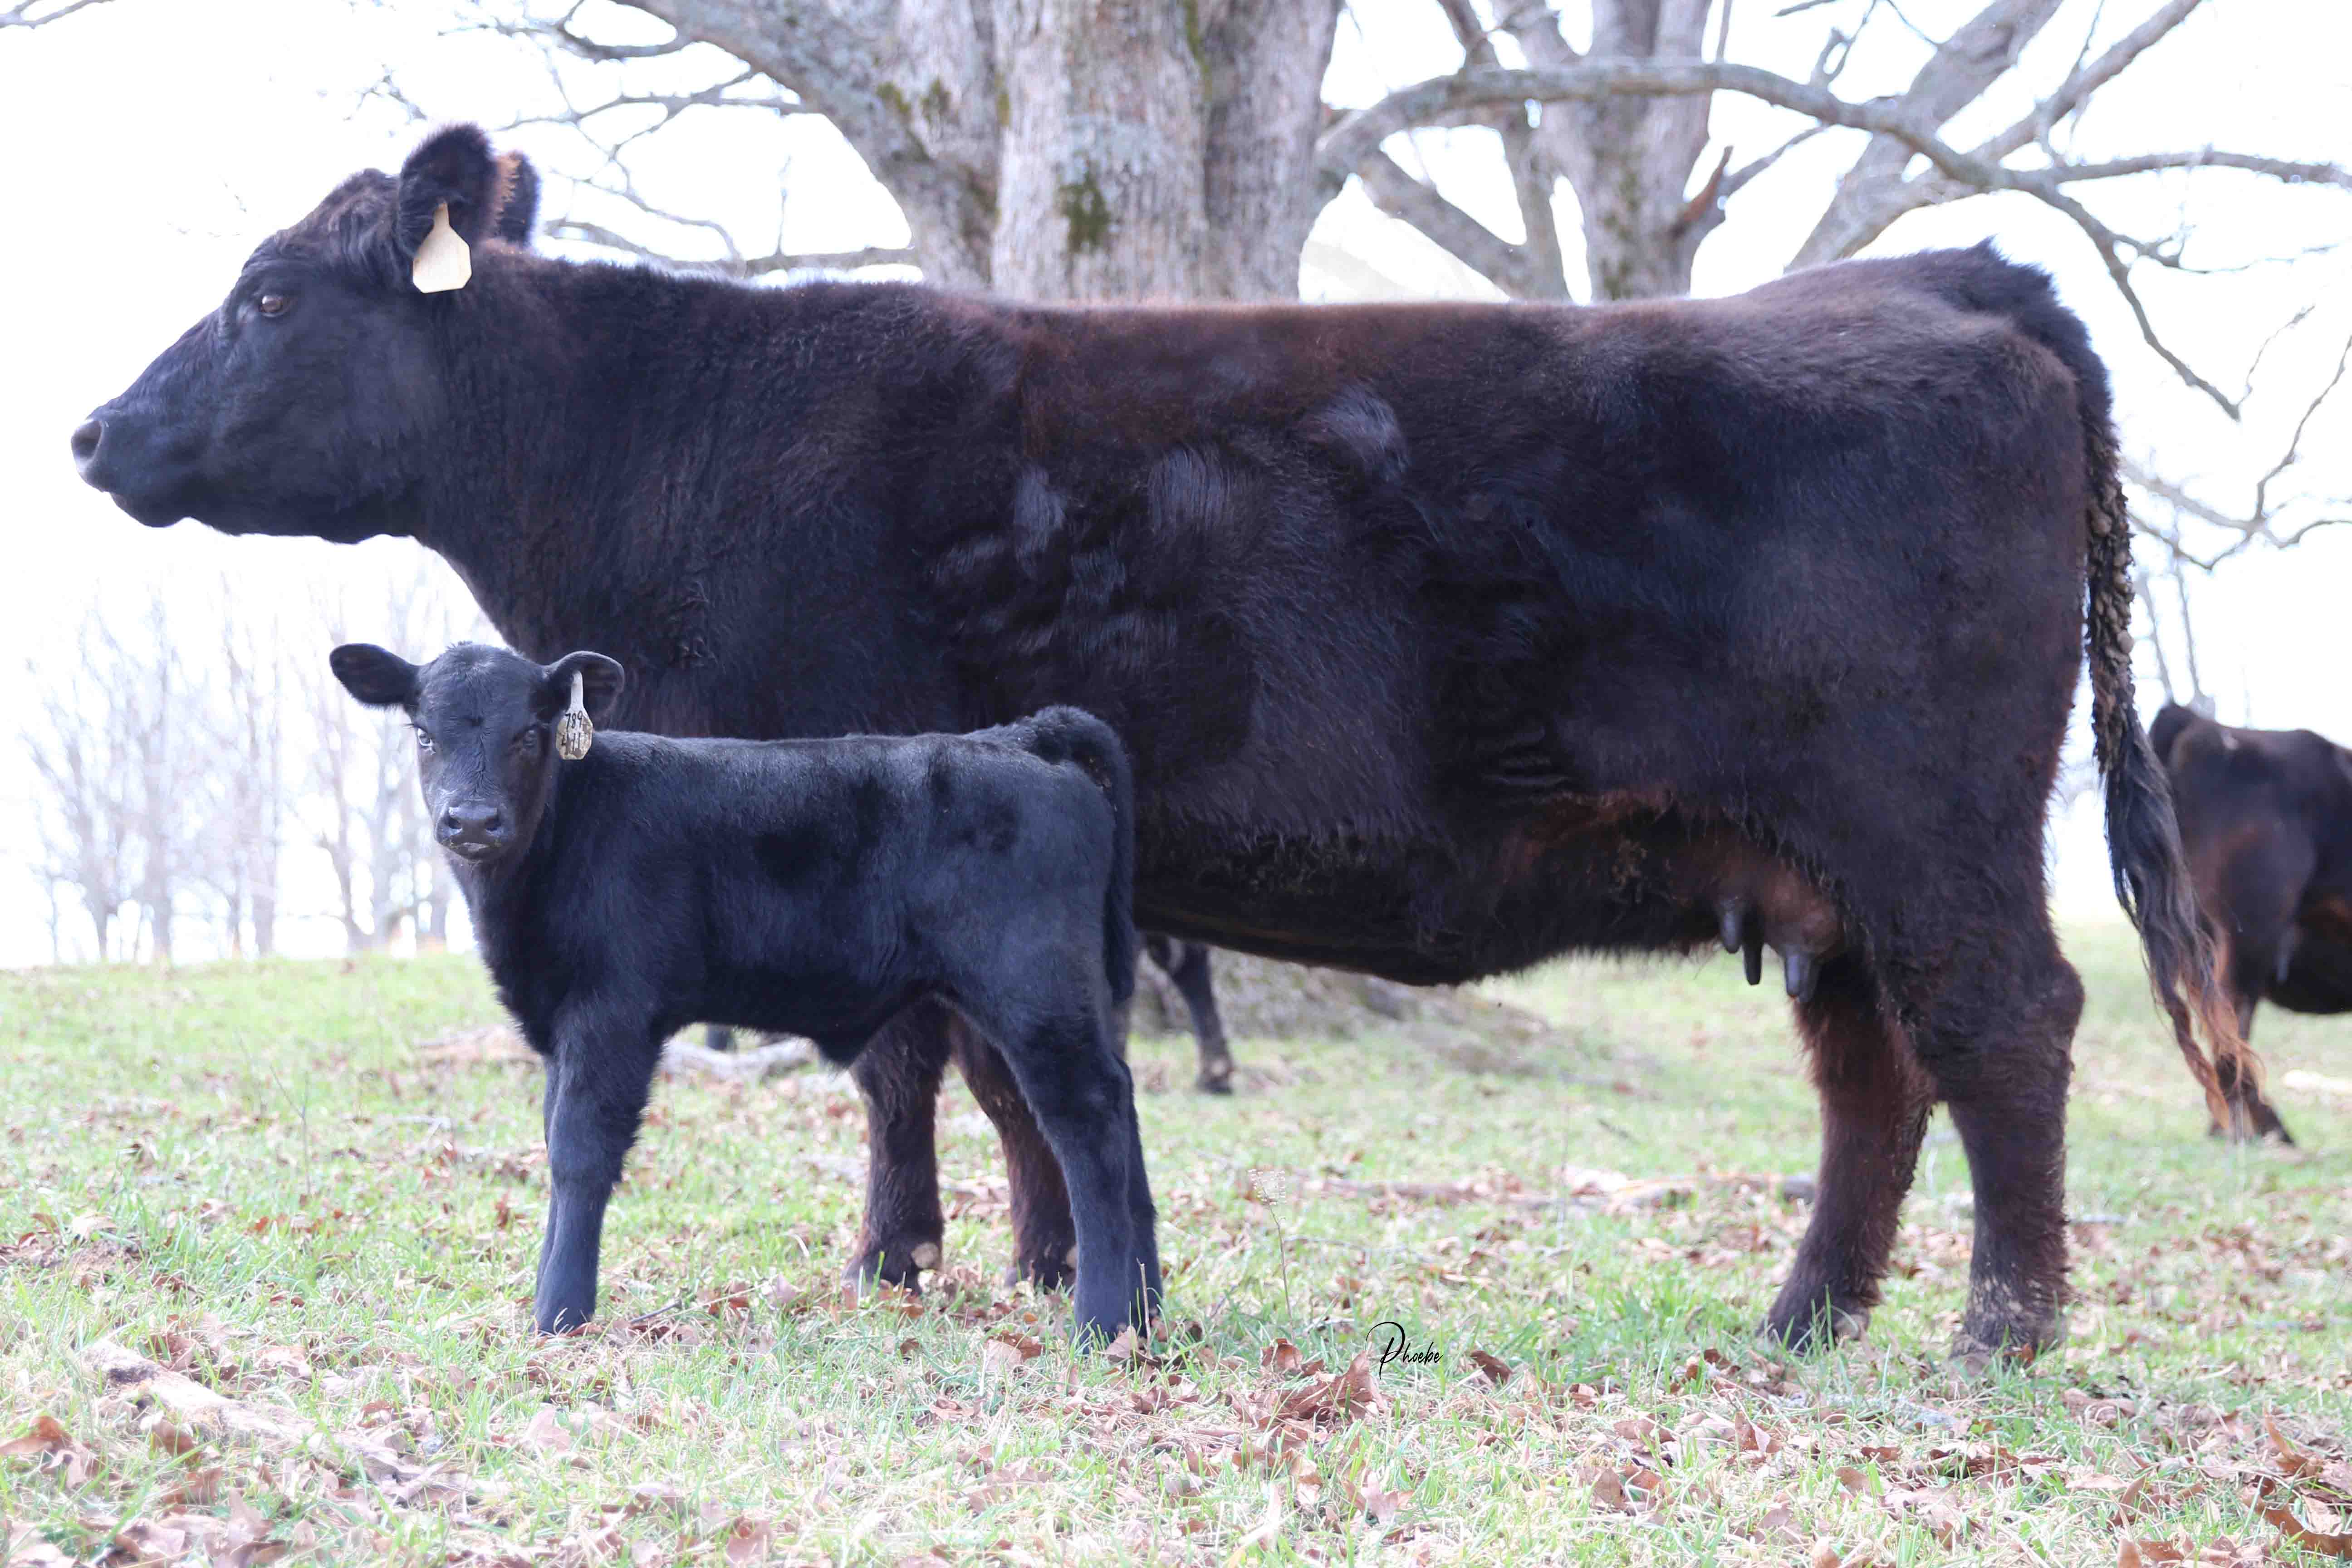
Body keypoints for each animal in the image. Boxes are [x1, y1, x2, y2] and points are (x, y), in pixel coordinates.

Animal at [327, 638, 1157, 1340]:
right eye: (424, 734)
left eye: (529, 733)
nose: (471, 821)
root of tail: (1021, 739)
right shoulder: (560, 1023)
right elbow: (555, 1141)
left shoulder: (610, 1013)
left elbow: (578, 1151)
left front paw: (559, 1313)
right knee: (1118, 1104)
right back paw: (1146, 1308)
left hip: (1033, 988)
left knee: (1085, 1119)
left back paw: (1100, 1322)